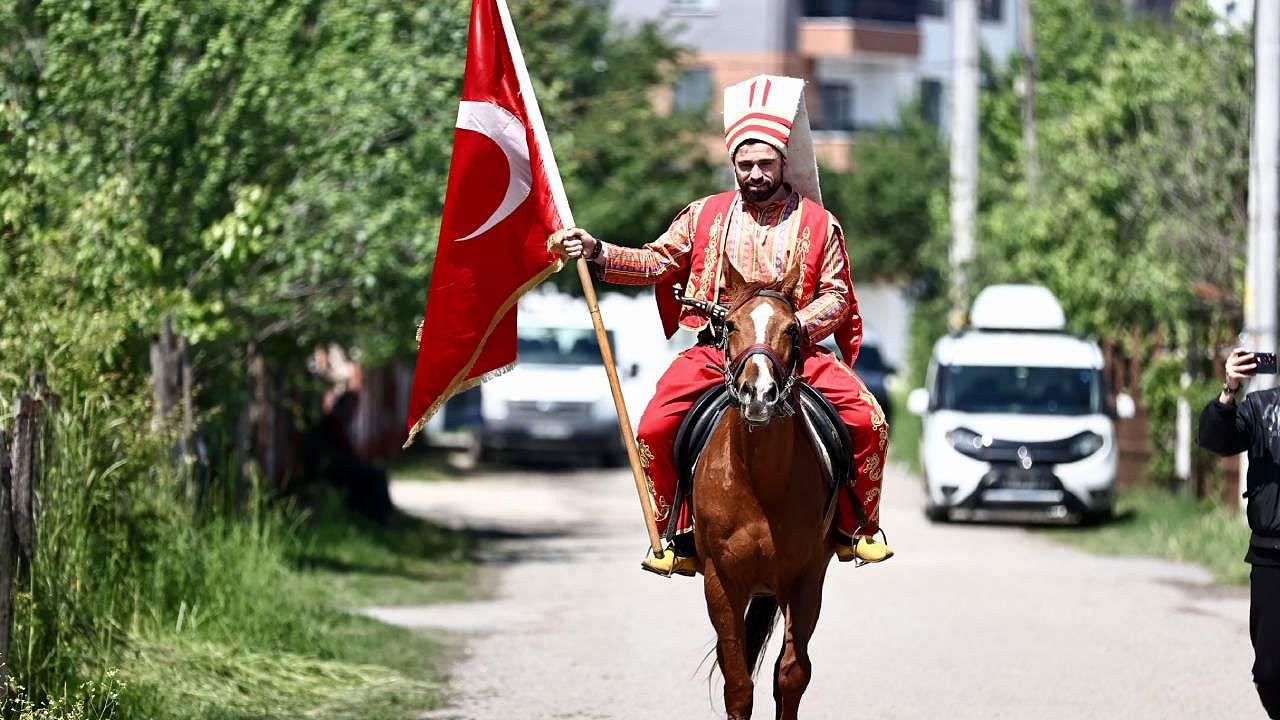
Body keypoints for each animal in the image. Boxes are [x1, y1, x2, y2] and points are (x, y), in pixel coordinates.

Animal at [696, 258, 834, 717]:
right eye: (730, 325)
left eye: (792, 329)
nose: (758, 394)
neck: (762, 483)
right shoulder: (721, 581)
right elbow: (737, 681)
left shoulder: (806, 578)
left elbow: (791, 674)